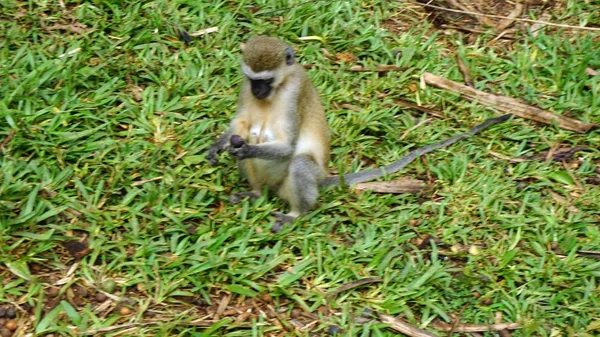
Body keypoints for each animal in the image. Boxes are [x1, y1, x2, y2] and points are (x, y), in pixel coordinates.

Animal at [207, 35, 510, 232]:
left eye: (267, 80)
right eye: (253, 80)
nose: (258, 91)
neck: (277, 89)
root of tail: (322, 179)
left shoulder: (294, 92)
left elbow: (288, 145)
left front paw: (246, 148)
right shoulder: (244, 89)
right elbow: (240, 125)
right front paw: (220, 144)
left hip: (299, 181)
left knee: (300, 163)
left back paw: (296, 214)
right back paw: (255, 193)